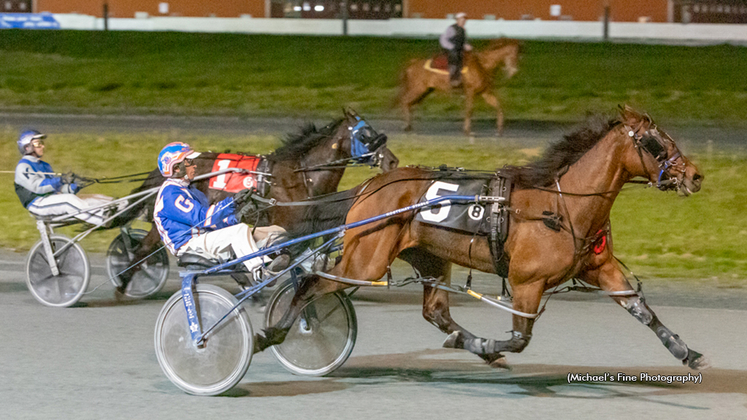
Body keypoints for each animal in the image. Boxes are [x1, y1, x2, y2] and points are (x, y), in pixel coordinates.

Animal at [109, 109, 400, 286]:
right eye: (364, 134)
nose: (393, 161)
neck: (300, 174)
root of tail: (161, 173)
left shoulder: (314, 220)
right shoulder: (291, 224)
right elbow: (288, 253)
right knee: (147, 247)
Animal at [258, 106, 708, 372]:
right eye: (656, 142)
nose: (695, 175)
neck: (561, 204)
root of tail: (370, 186)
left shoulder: (600, 267)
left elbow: (640, 309)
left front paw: (686, 351)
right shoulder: (528, 282)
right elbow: (520, 338)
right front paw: (493, 345)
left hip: (429, 257)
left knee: (436, 312)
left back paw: (462, 337)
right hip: (365, 259)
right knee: (313, 283)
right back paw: (273, 332)